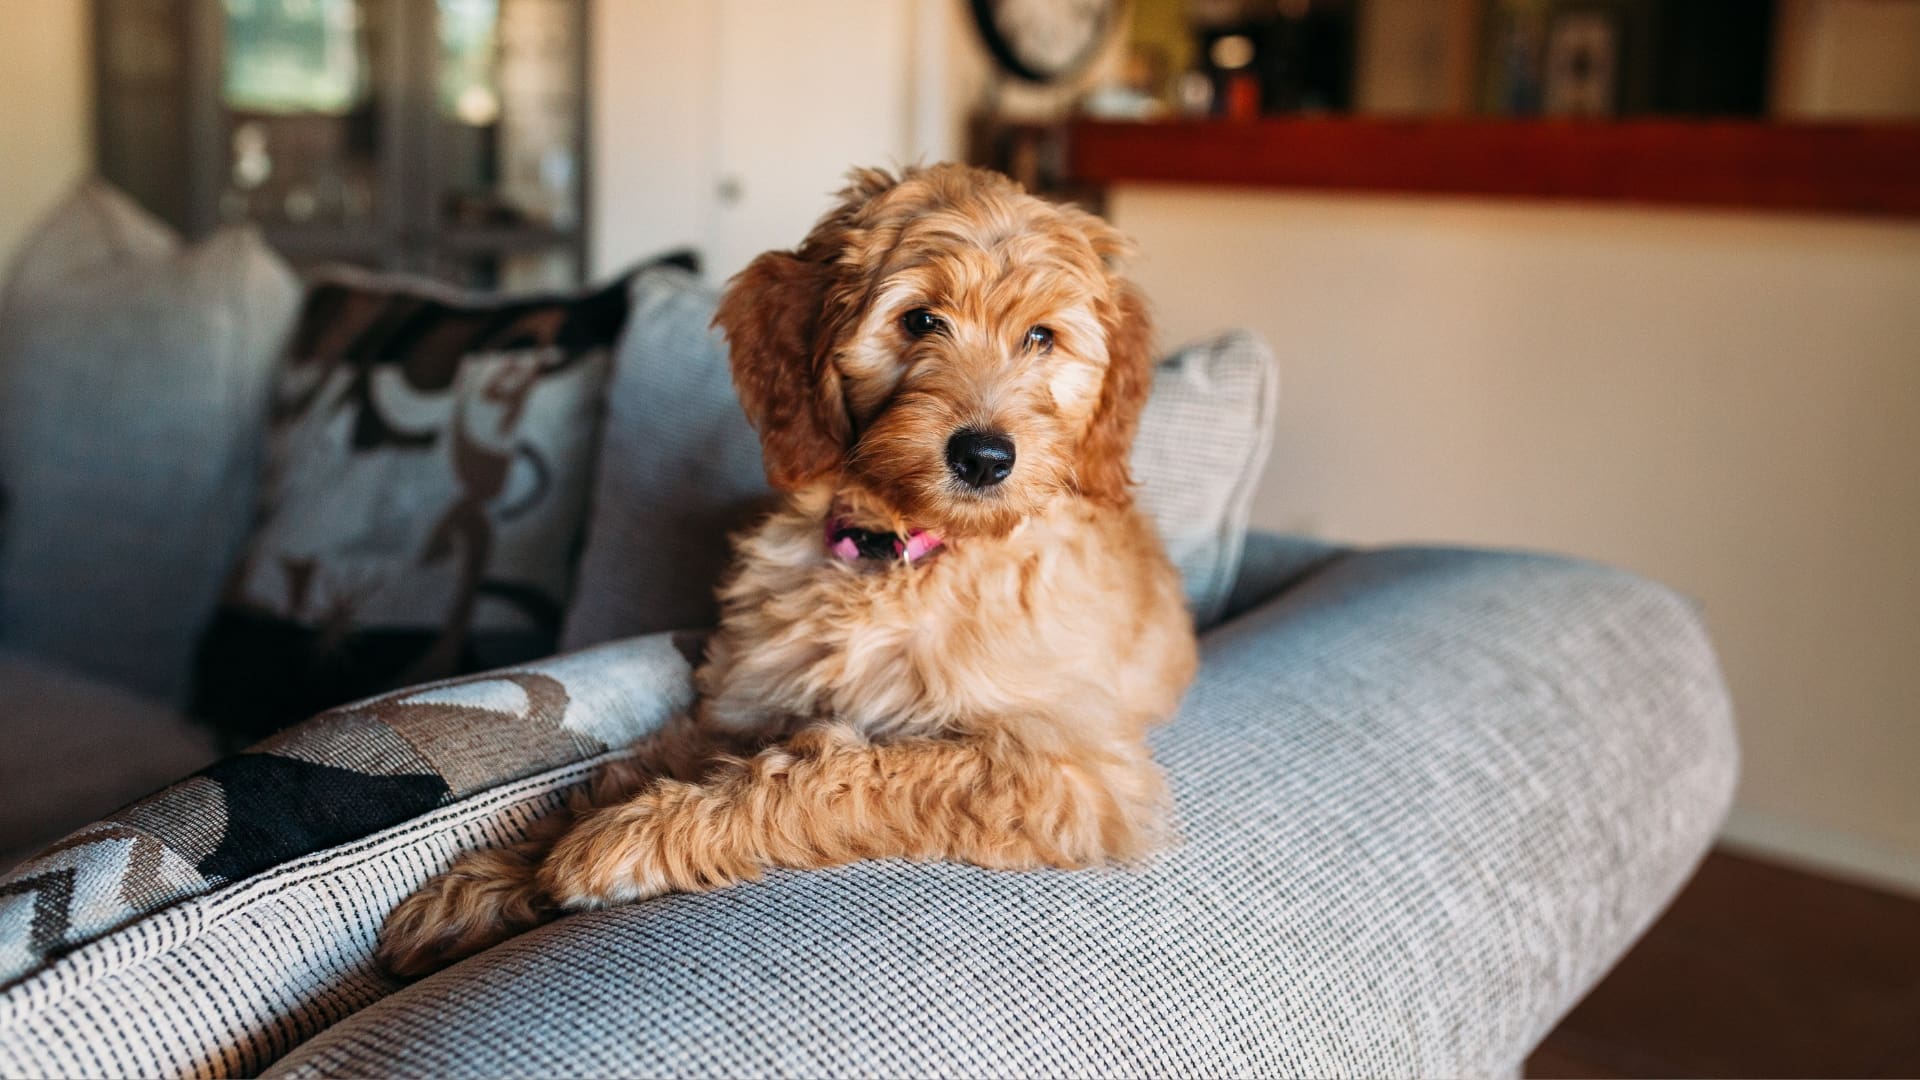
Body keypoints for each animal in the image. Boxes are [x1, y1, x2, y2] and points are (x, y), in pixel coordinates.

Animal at [374, 161, 1198, 976]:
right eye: (920, 321)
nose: (985, 456)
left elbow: (846, 771)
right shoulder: (740, 704)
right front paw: (491, 880)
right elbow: (635, 766)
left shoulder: (1071, 770)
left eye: (1041, 337)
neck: (896, 557)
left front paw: (627, 840)